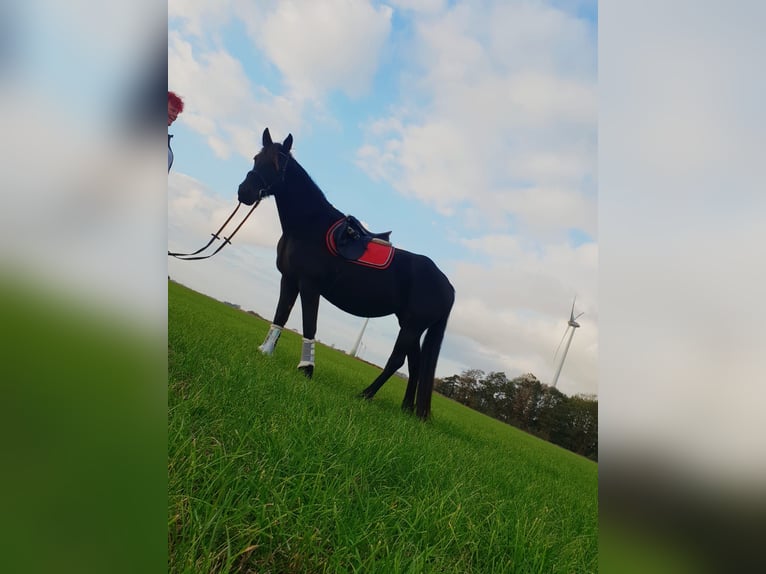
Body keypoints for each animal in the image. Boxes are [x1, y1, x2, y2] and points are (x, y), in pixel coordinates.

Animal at [238, 128, 456, 420]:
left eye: (278, 163)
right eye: (256, 157)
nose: (245, 192)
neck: (309, 225)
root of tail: (448, 286)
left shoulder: (309, 285)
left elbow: (309, 325)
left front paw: (306, 369)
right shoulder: (289, 280)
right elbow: (280, 317)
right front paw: (266, 351)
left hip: (412, 326)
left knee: (397, 360)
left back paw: (366, 394)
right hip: (411, 325)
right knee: (415, 364)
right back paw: (407, 409)